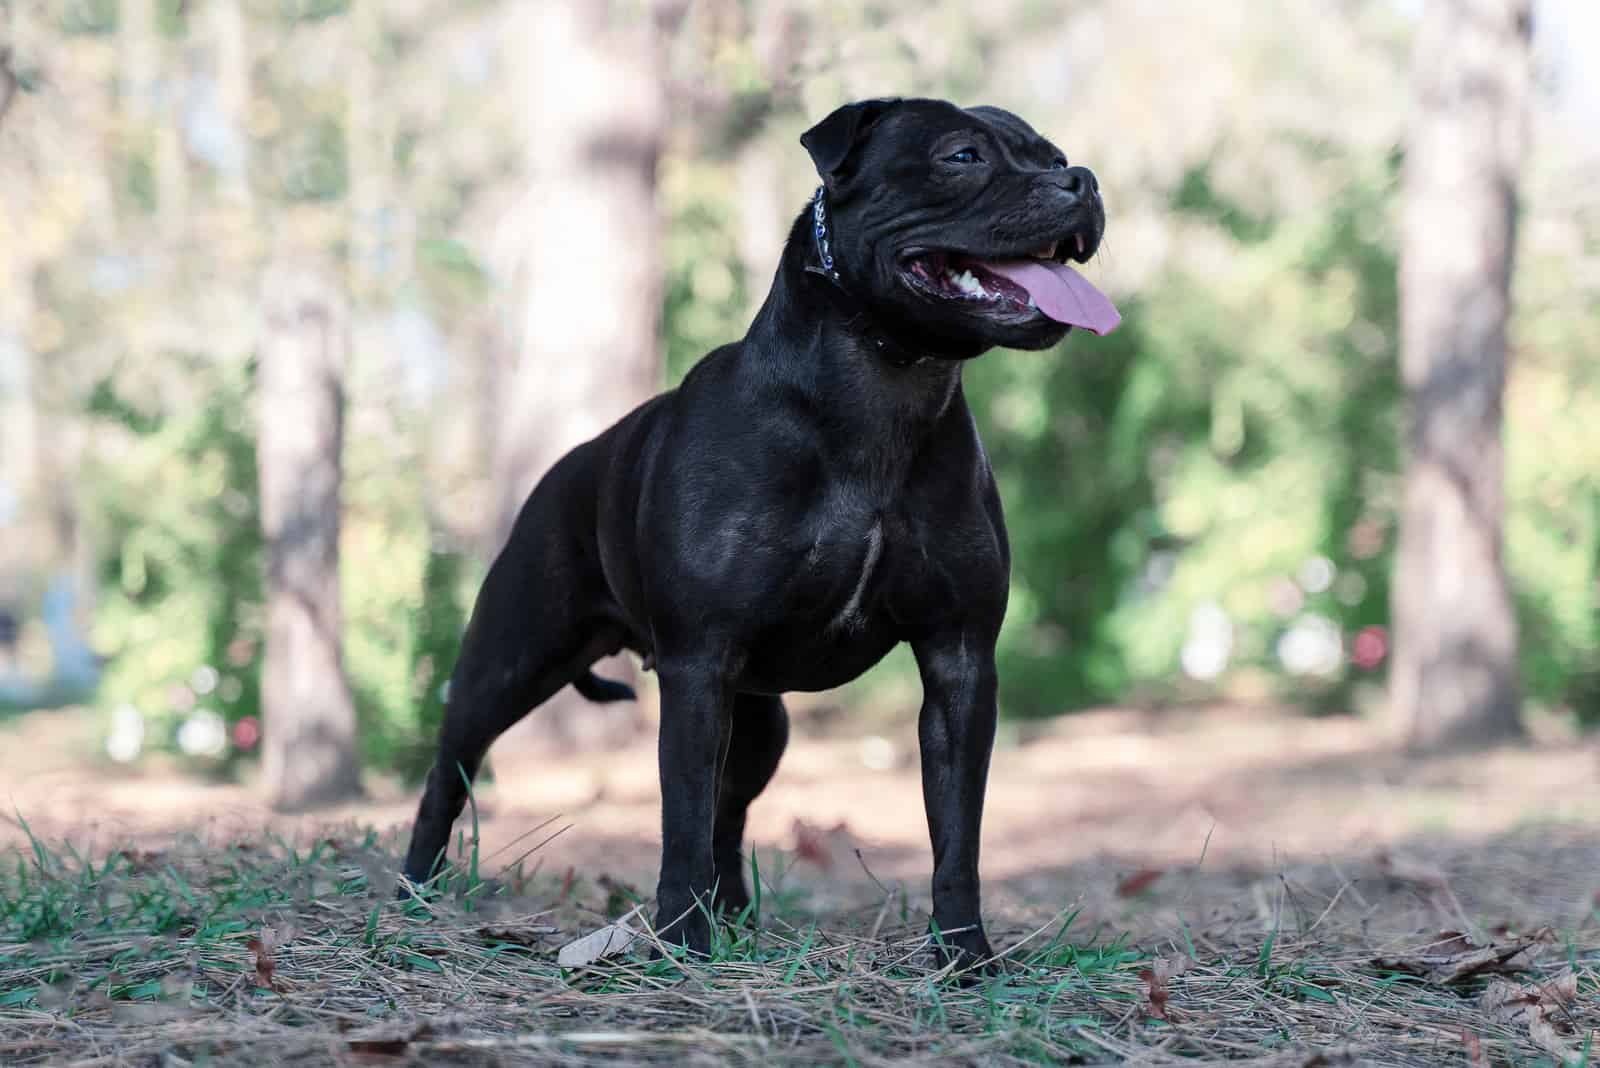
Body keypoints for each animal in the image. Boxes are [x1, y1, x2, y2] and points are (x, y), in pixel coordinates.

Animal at [406, 99, 1120, 965]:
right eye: (962, 156)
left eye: (1052, 154)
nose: (1080, 180)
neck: (885, 388)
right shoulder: (698, 664)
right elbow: (678, 821)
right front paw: (679, 943)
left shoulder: (959, 660)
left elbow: (956, 833)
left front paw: (964, 956)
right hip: (509, 663)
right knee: (452, 771)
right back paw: (413, 894)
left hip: (759, 720)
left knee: (729, 813)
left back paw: (736, 918)